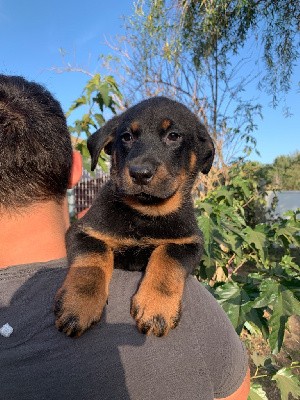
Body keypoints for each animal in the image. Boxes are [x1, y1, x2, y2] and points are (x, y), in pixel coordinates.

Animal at [53, 97, 213, 338]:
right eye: (126, 137)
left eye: (173, 135)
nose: (139, 173)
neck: (144, 213)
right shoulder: (84, 231)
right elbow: (92, 261)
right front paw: (78, 304)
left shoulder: (189, 242)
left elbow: (167, 257)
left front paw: (156, 307)